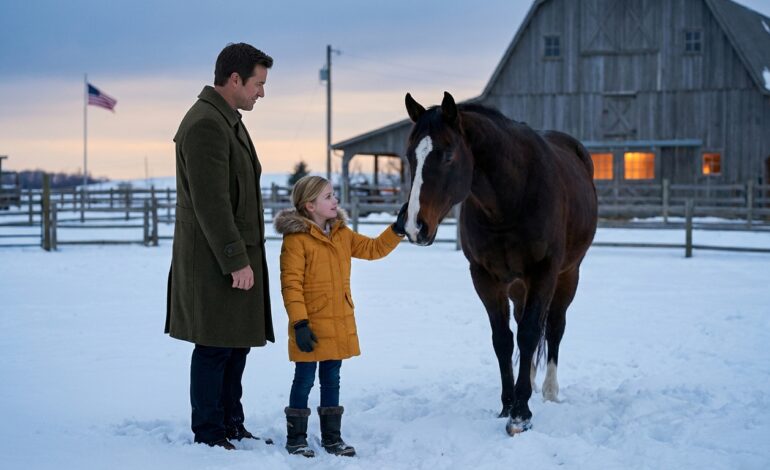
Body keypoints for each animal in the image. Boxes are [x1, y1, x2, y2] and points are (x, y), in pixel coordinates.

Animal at [402, 92, 598, 435]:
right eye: (411, 156)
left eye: (448, 156)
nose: (414, 226)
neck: (511, 198)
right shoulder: (485, 277)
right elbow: (504, 339)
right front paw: (508, 404)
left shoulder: (544, 272)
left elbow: (531, 334)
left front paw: (521, 414)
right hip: (518, 285)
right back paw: (527, 381)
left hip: (567, 274)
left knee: (554, 327)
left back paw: (548, 390)